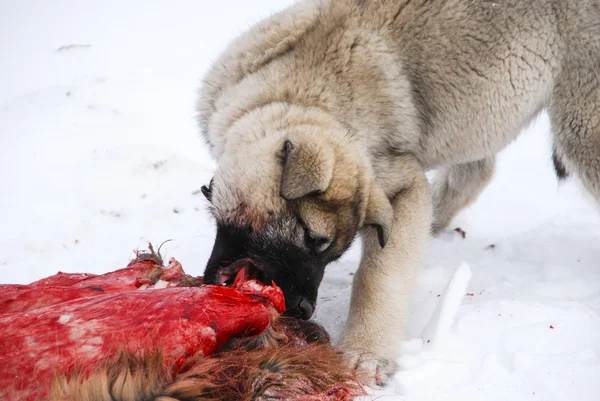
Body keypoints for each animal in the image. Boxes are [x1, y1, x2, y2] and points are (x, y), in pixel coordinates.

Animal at [195, 0, 596, 388]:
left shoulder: (401, 185)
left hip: (580, 124)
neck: (296, 93)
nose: (304, 309)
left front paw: (366, 354)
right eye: (310, 236)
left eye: (321, 244)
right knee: (476, 171)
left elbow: (380, 275)